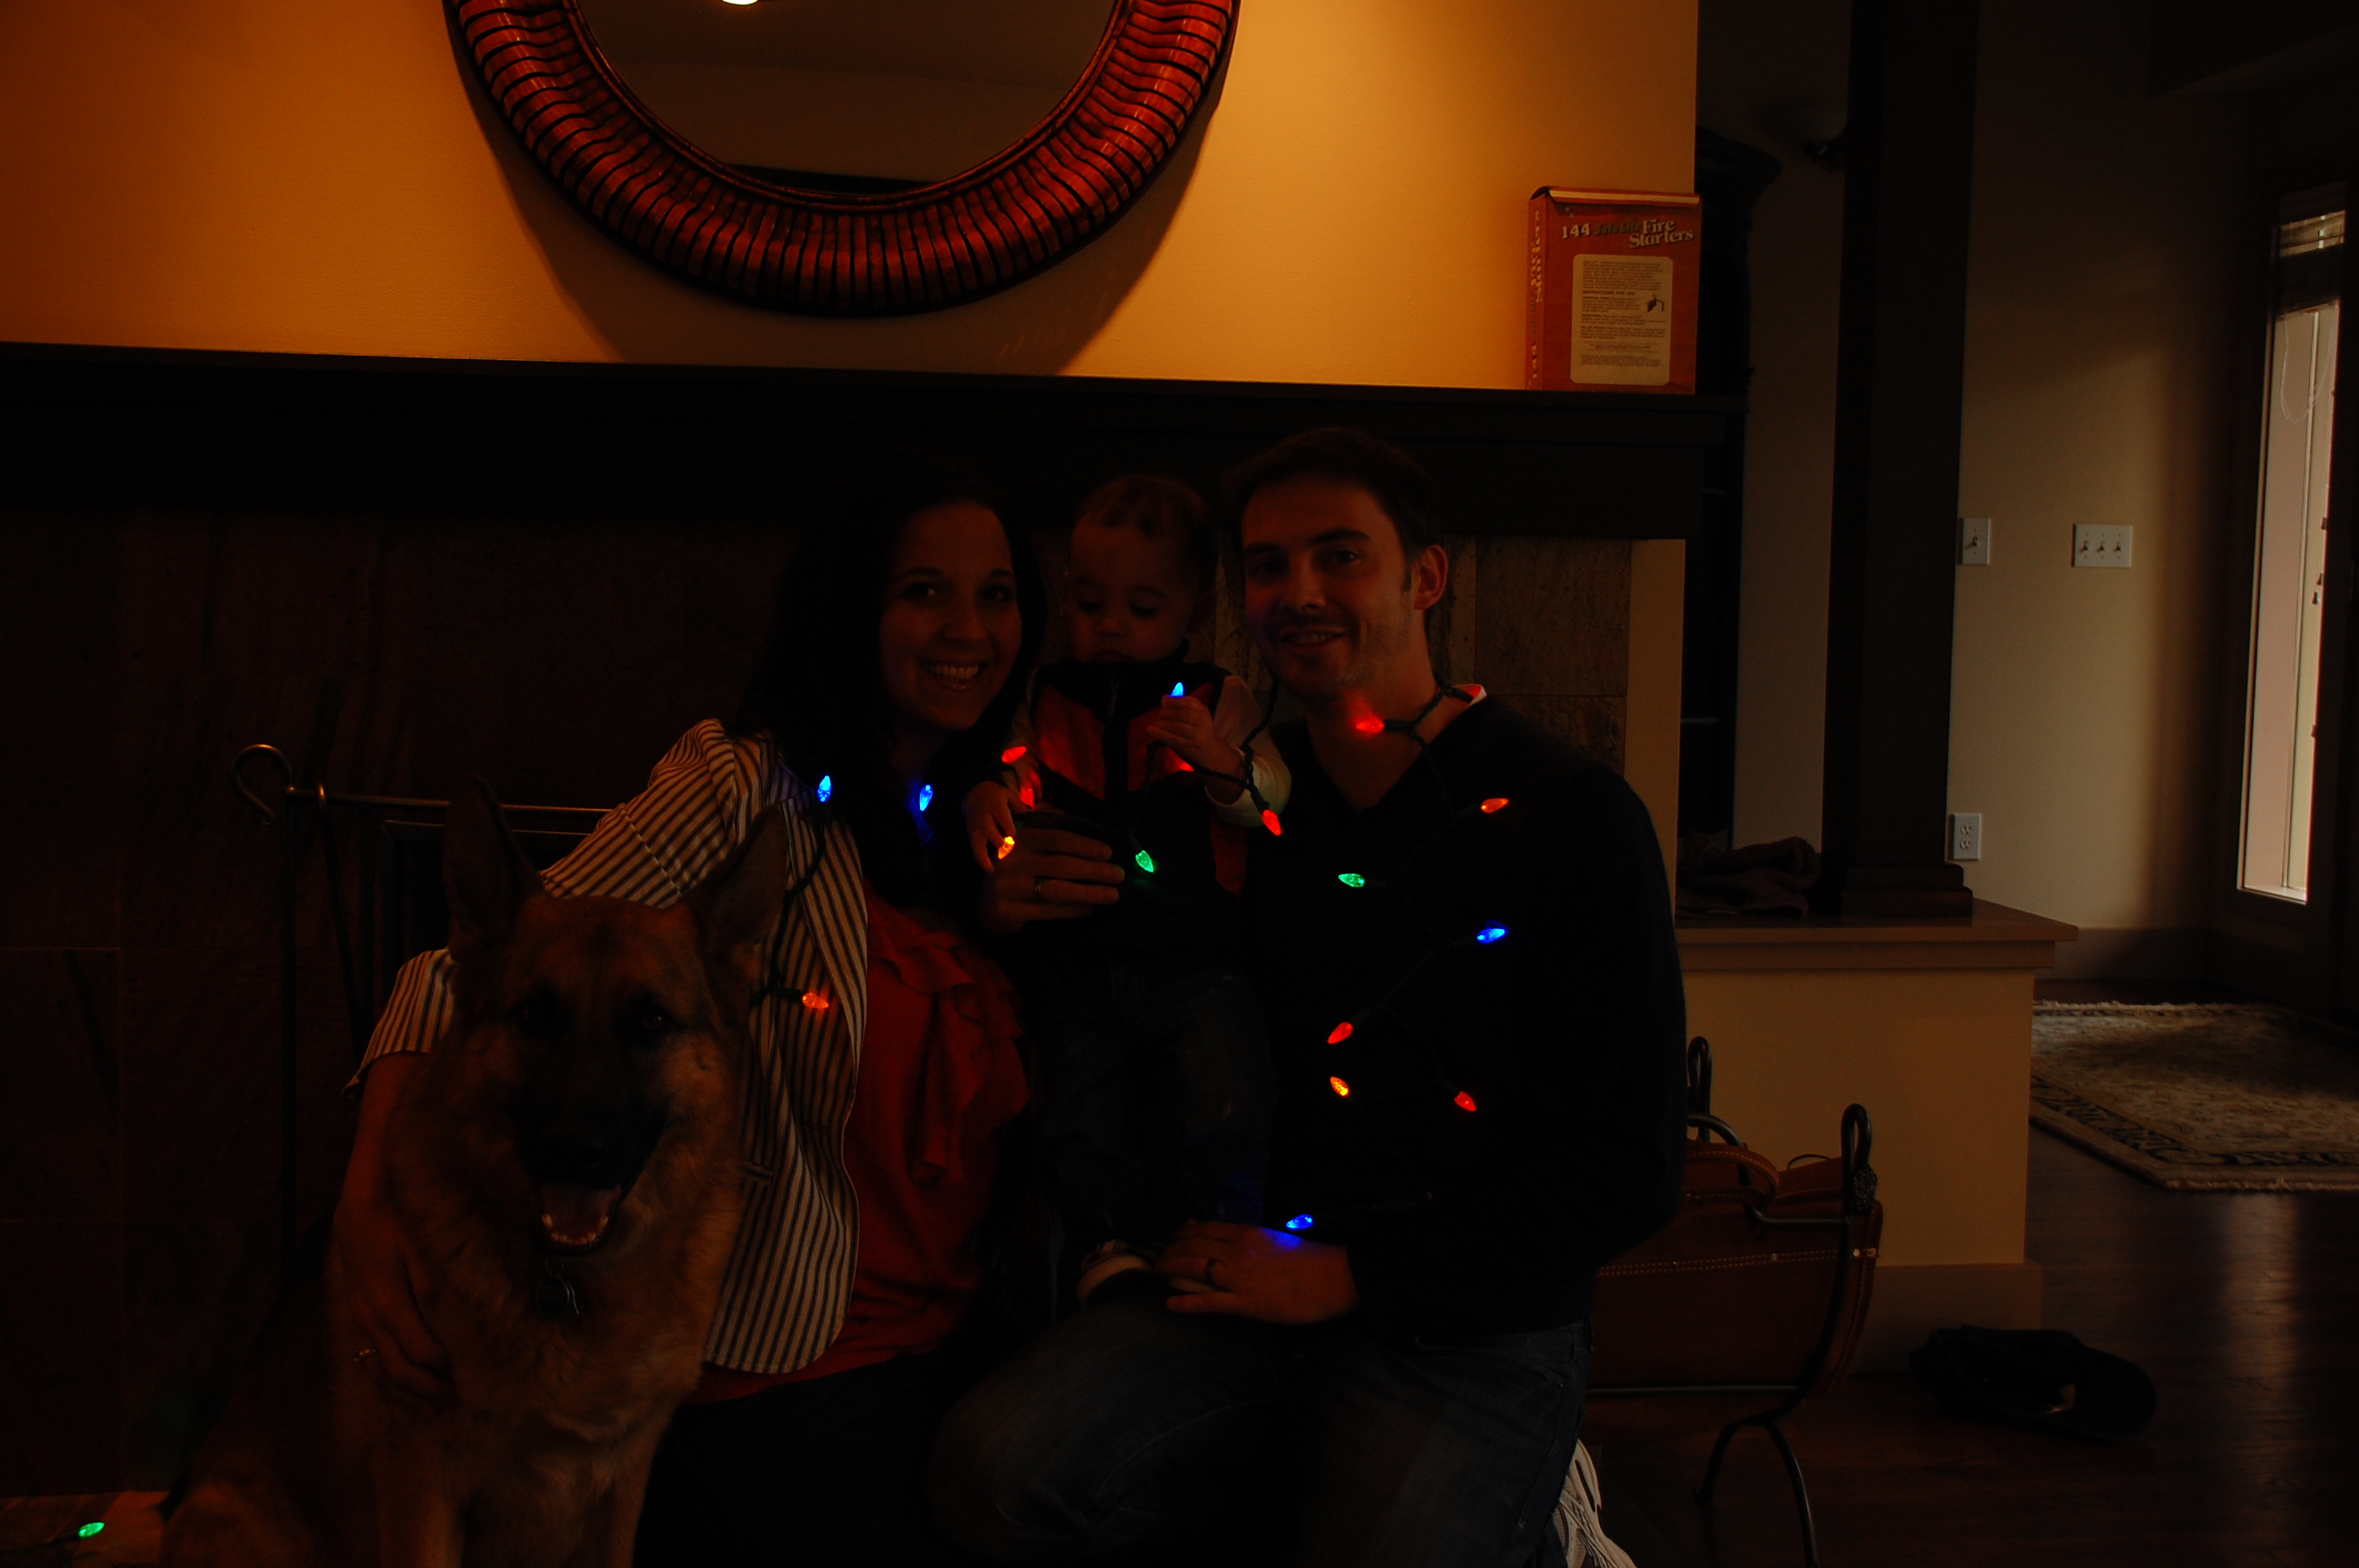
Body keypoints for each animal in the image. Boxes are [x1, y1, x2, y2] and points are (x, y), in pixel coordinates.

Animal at [164, 780, 786, 1567]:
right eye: (535, 1015)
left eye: (650, 1022)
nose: (574, 1150)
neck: (570, 1285)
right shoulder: (424, 1482)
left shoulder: (621, 1487)